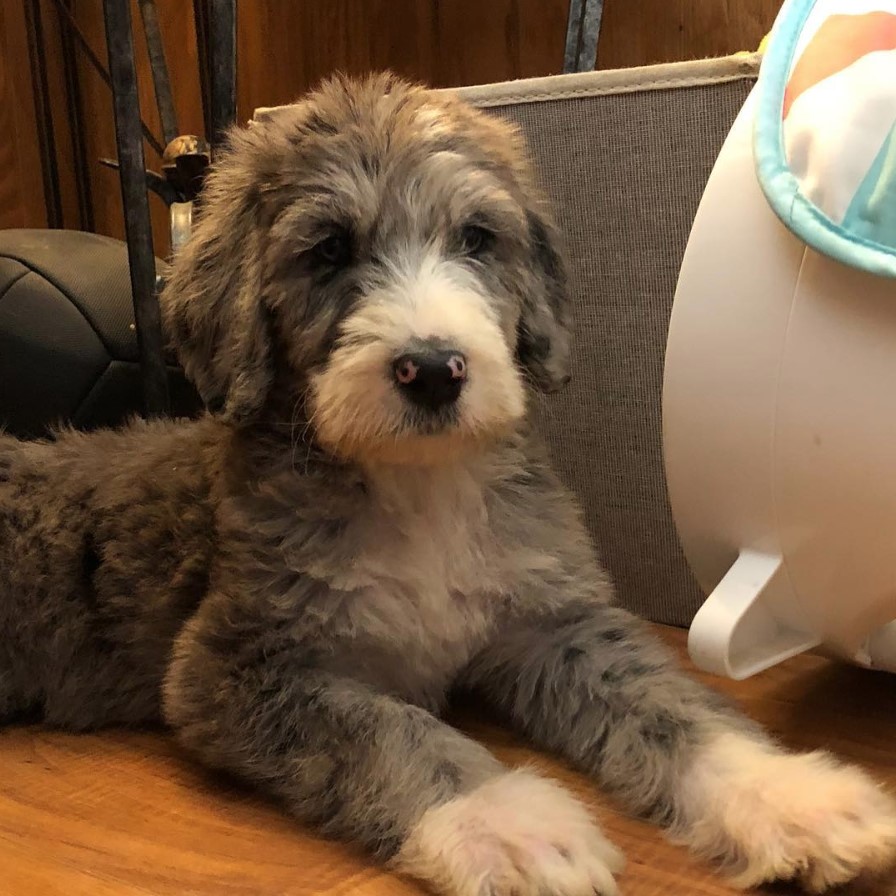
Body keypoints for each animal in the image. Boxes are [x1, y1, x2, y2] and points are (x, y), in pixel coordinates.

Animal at [1, 77, 896, 896]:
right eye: (328, 249)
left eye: (476, 238)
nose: (432, 370)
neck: (419, 485)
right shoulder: (231, 668)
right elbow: (386, 729)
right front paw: (510, 824)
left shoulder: (557, 622)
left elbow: (673, 704)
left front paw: (793, 796)